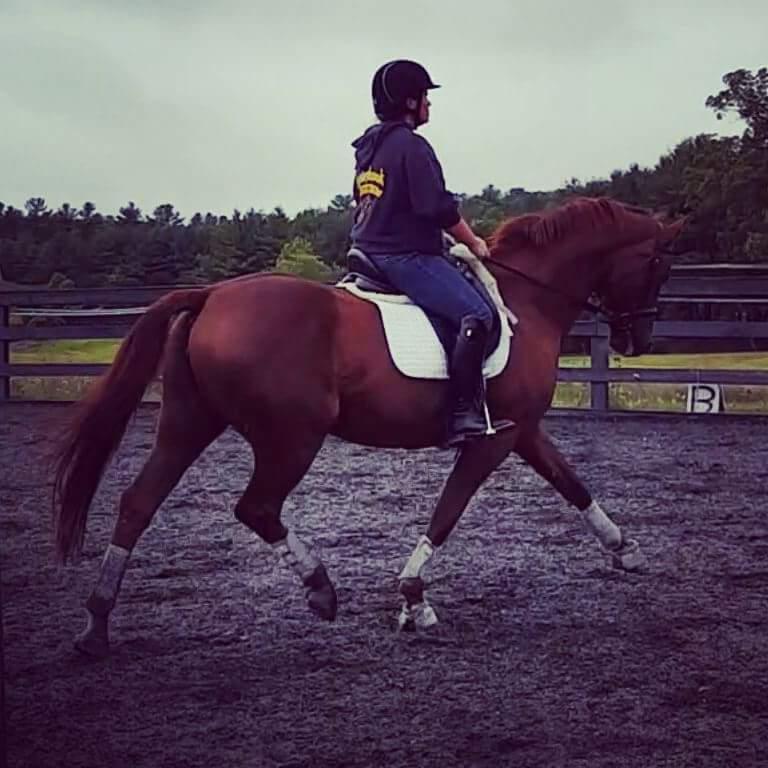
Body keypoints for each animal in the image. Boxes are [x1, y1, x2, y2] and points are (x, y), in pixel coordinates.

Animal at [52, 196, 684, 657]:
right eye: (658, 263)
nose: (639, 338)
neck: (526, 301)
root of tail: (210, 296)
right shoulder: (495, 439)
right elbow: (448, 512)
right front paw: (413, 599)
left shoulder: (522, 429)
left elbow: (572, 483)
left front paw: (625, 550)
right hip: (292, 437)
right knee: (256, 508)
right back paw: (320, 590)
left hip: (189, 423)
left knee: (138, 502)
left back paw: (96, 625)